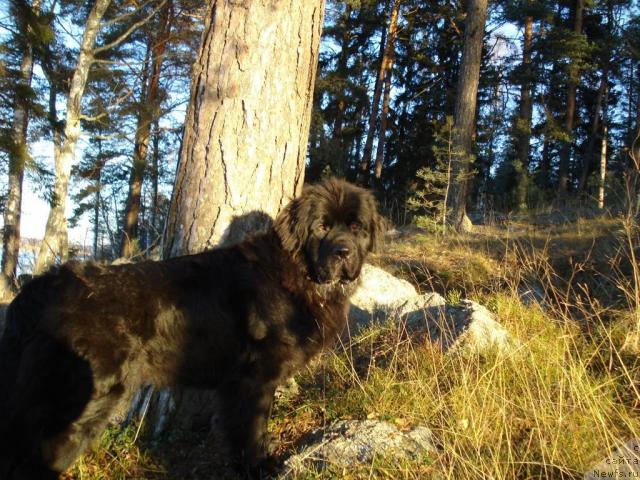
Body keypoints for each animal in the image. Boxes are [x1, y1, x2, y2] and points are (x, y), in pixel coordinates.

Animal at [0, 177, 380, 480]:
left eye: (357, 228)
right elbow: (253, 429)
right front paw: (260, 467)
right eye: (321, 228)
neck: (299, 273)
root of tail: (42, 286)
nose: (343, 252)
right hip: (80, 403)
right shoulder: (254, 379)